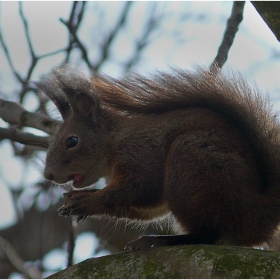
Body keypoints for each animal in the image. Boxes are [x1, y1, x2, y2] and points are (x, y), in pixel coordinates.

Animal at [35, 65, 280, 249]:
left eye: (72, 141)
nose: (49, 175)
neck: (114, 141)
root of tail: (262, 213)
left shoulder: (140, 153)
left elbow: (141, 186)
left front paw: (87, 201)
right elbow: (144, 206)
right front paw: (83, 198)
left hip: (192, 164)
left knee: (209, 234)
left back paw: (160, 241)